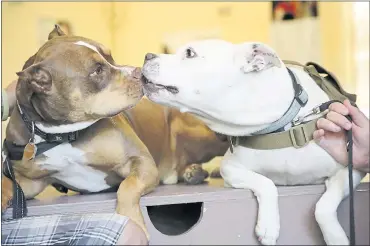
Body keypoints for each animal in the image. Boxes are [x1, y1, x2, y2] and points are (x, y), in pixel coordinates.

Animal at [141, 39, 364, 245]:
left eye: (189, 53)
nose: (147, 55)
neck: (280, 126)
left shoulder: (351, 167)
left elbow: (324, 206)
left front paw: (336, 237)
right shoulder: (231, 168)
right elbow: (266, 183)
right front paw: (268, 226)